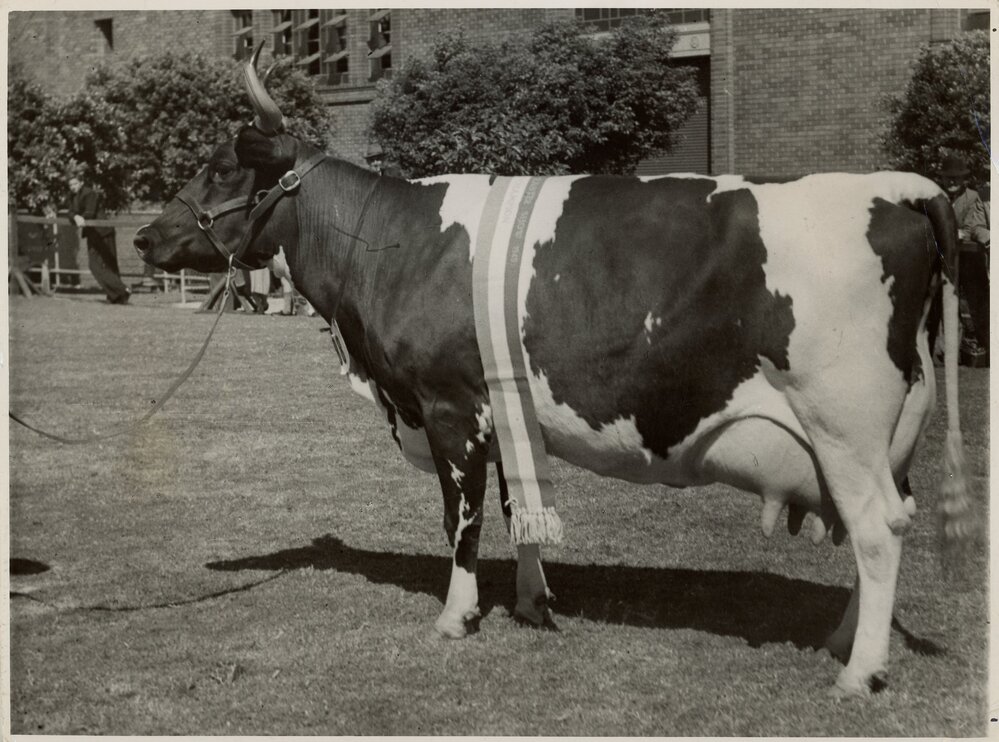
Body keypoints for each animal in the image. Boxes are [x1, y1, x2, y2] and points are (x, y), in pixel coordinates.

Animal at [134, 49, 973, 696]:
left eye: (219, 168)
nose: (144, 238)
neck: (390, 242)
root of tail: (901, 187)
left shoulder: (449, 406)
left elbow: (463, 518)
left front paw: (457, 615)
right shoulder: (502, 407)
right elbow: (515, 504)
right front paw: (533, 602)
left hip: (843, 424)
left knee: (876, 531)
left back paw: (858, 674)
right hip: (886, 436)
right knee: (880, 525)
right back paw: (841, 642)